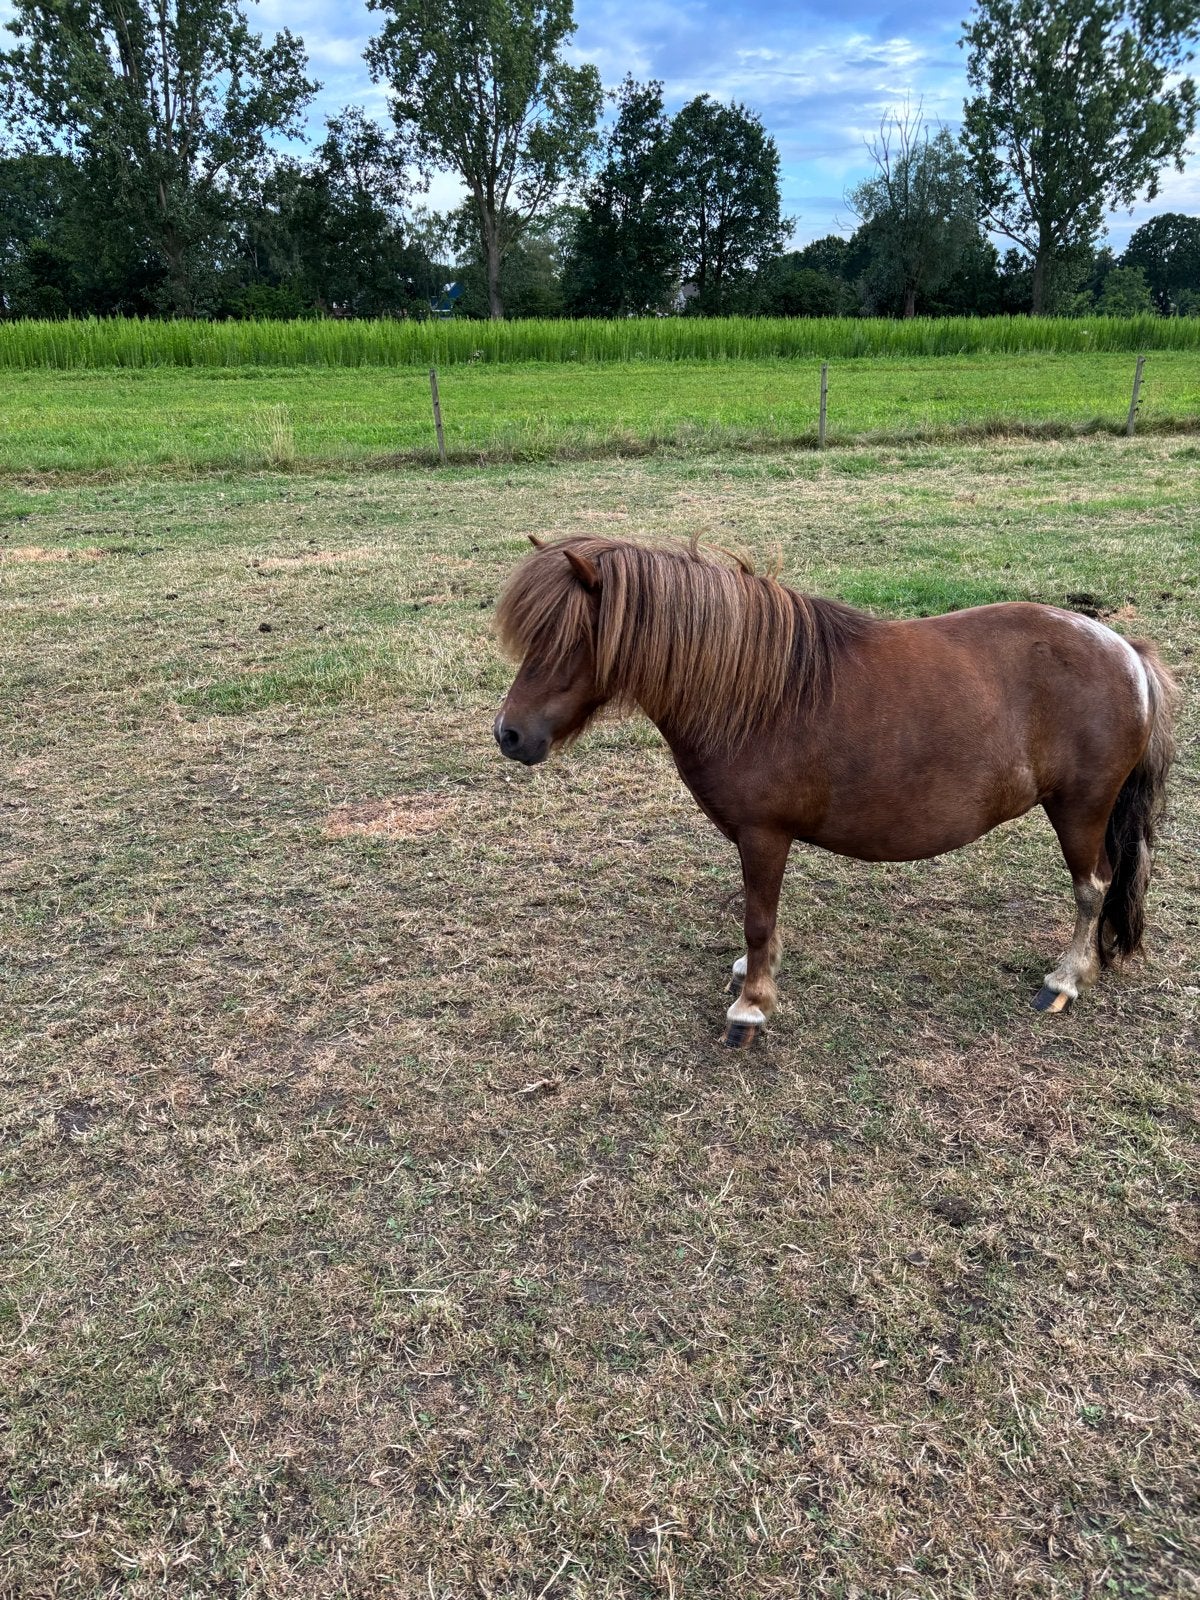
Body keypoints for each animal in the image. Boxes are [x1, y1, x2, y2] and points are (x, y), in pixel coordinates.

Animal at [493, 535, 1177, 1047]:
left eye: (569, 639)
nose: (510, 735)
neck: (752, 692)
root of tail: (1126, 651)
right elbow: (762, 915)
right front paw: (755, 975)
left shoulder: (764, 834)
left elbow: (757, 919)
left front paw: (751, 1006)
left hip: (1080, 809)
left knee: (1092, 890)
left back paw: (1065, 981)